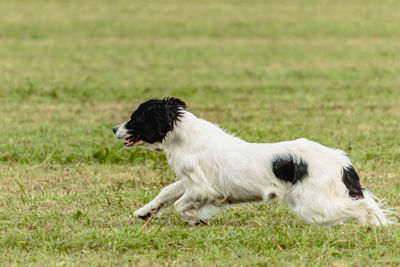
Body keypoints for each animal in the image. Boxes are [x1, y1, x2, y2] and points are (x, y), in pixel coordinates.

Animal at [113, 97, 394, 227]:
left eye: (135, 119)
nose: (114, 128)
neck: (184, 138)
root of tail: (341, 162)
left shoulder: (204, 188)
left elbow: (180, 205)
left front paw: (196, 220)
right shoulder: (190, 181)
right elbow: (166, 193)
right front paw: (144, 212)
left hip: (313, 206)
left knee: (364, 207)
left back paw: (373, 227)